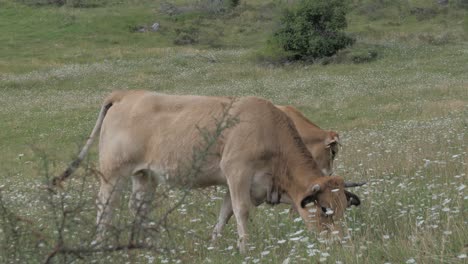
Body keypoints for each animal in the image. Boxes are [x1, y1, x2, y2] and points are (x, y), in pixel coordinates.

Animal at [53, 91, 364, 254]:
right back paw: (100, 245)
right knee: (105, 207)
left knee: (138, 207)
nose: (342, 244)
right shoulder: (237, 172)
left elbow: (224, 214)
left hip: (145, 176)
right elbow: (240, 211)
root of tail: (127, 94)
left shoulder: (237, 184)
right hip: (113, 172)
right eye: (323, 209)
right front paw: (245, 249)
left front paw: (214, 247)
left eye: (343, 208)